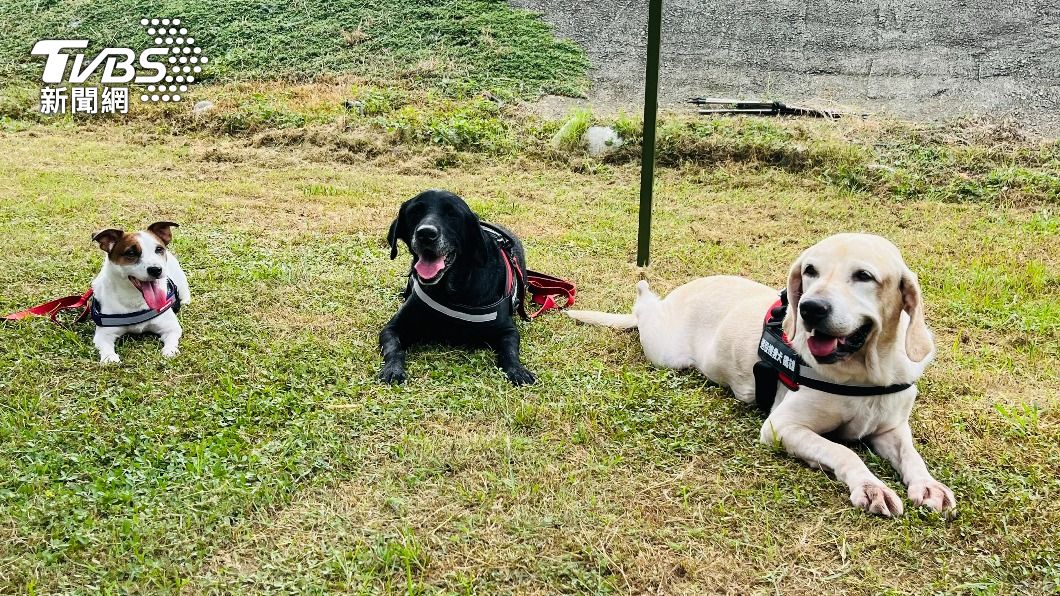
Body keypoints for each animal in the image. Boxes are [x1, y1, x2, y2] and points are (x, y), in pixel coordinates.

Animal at [90, 221, 191, 362]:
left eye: (158, 249)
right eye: (131, 252)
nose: (156, 269)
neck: (135, 299)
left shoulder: (170, 327)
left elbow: (172, 338)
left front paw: (169, 351)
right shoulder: (103, 334)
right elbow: (105, 346)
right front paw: (110, 358)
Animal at [576, 233, 958, 515]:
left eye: (864, 276)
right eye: (810, 270)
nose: (810, 308)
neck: (865, 374)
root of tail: (675, 295)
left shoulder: (891, 429)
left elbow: (911, 454)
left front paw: (927, 484)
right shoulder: (782, 427)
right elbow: (841, 450)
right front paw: (870, 486)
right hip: (663, 351)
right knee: (643, 311)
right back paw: (643, 292)